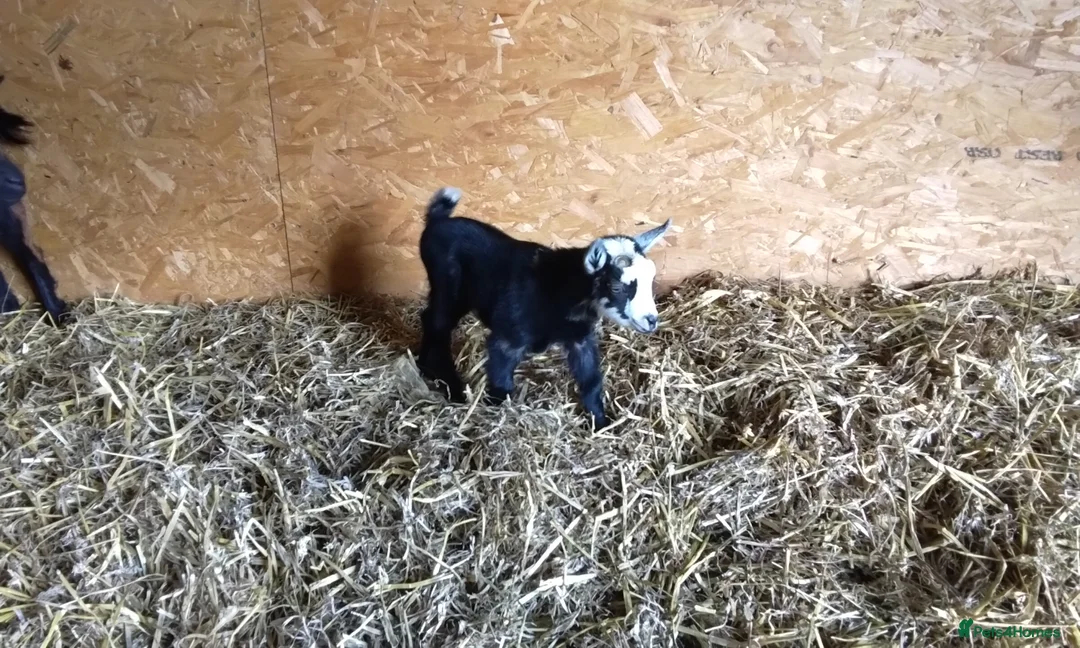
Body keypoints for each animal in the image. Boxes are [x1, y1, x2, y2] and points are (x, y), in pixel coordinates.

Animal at [416, 187, 671, 428]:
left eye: (651, 279)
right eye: (617, 287)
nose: (651, 320)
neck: (558, 290)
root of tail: (437, 221)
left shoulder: (580, 339)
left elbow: (591, 381)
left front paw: (600, 423)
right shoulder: (508, 339)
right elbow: (501, 382)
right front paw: (496, 416)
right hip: (447, 286)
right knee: (437, 324)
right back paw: (451, 386)